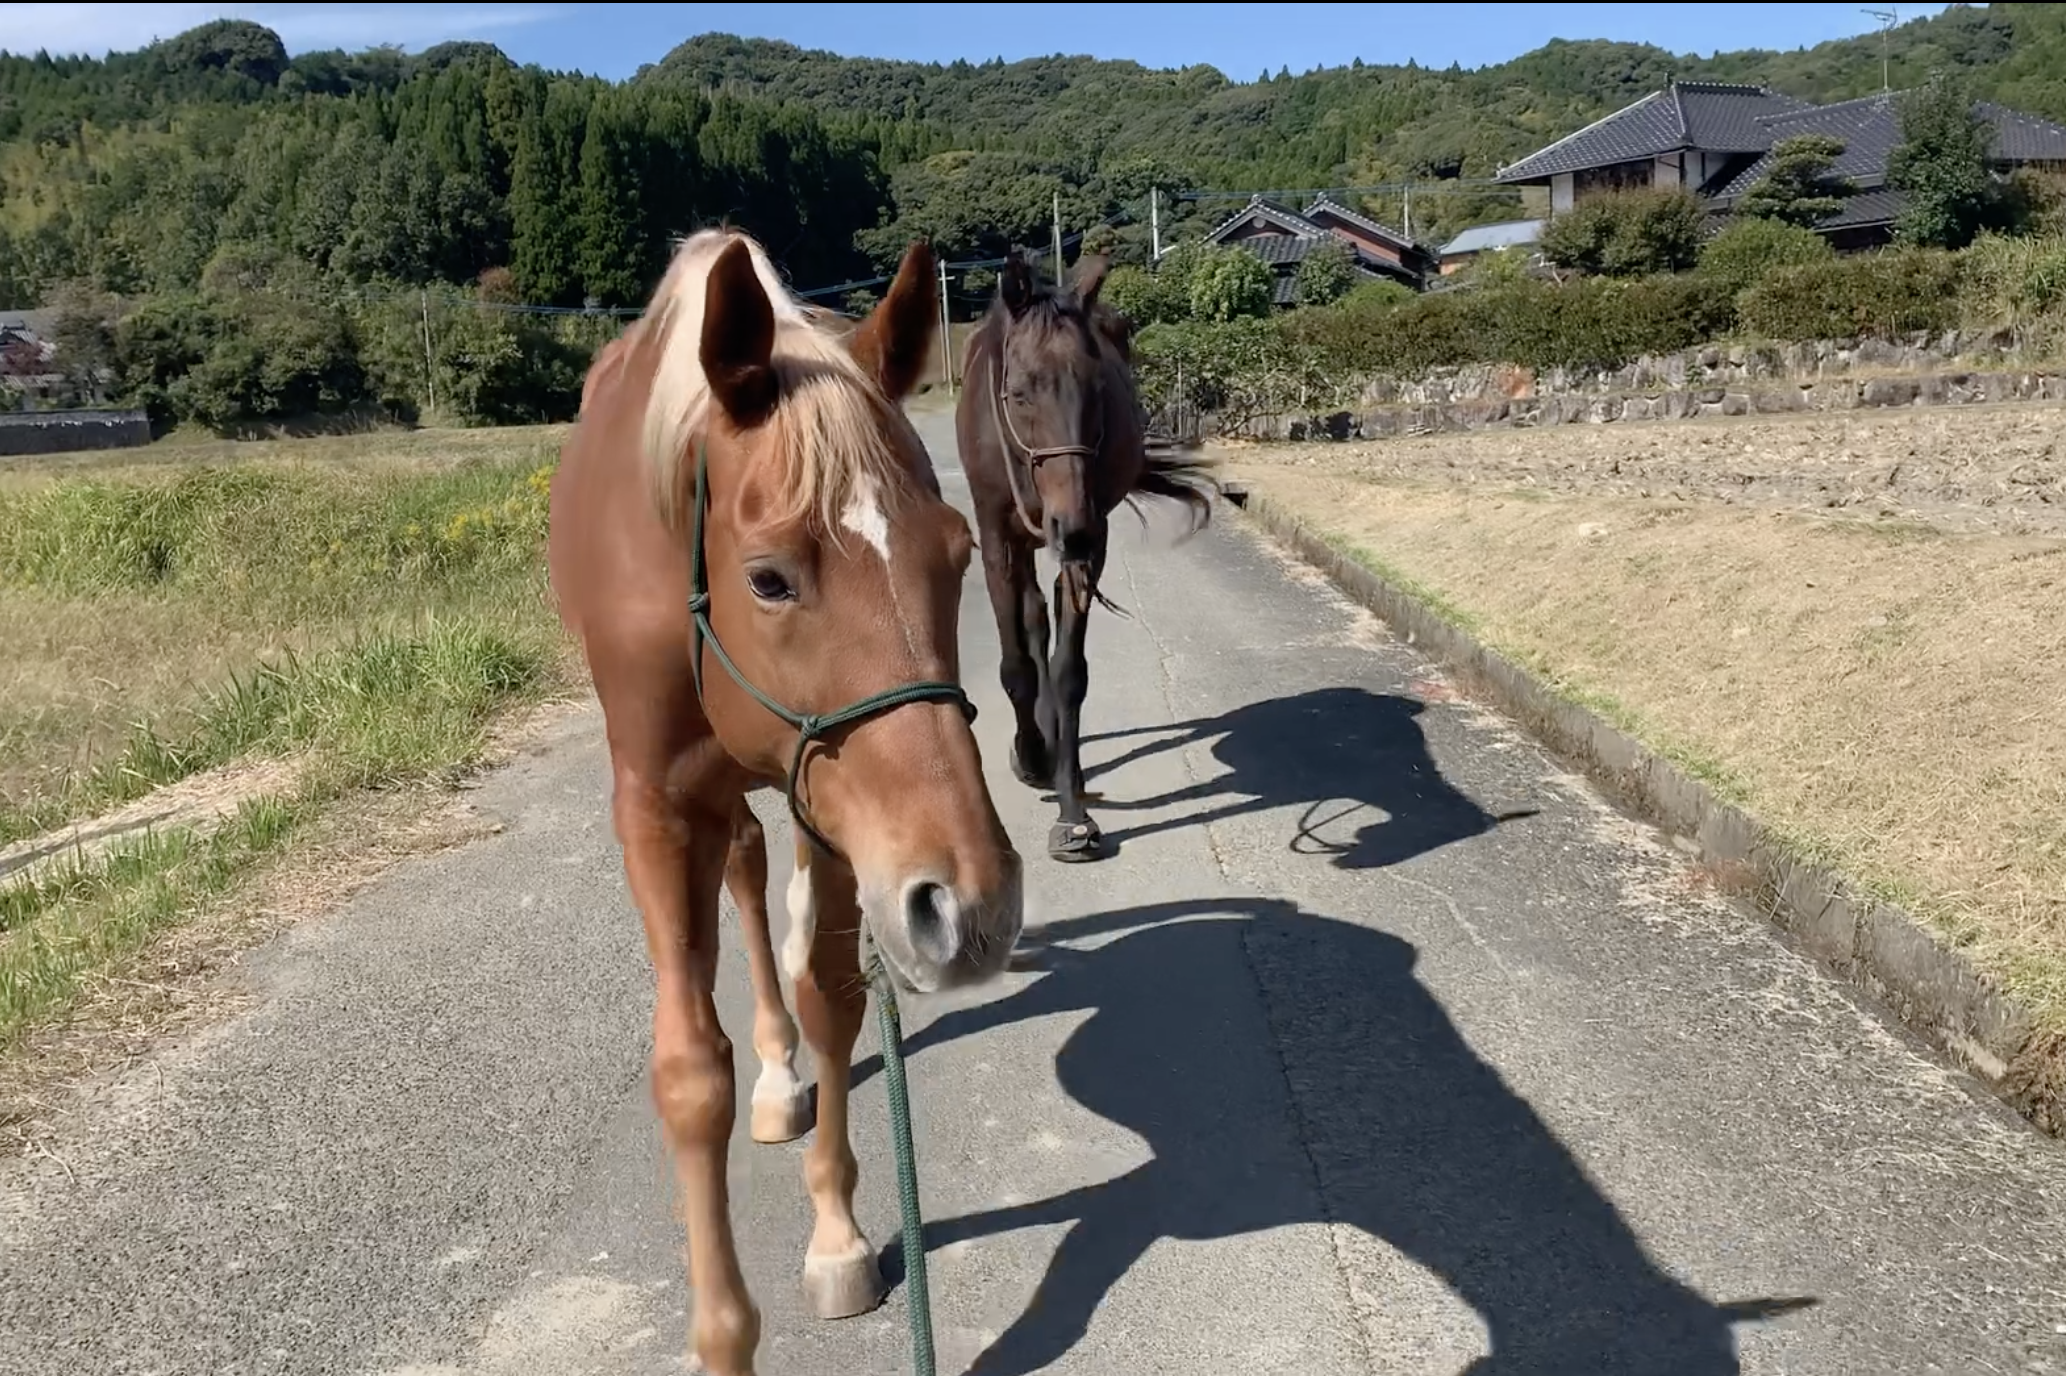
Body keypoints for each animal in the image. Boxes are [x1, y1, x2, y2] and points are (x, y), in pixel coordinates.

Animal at [548, 227, 1025, 1376]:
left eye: (955, 552)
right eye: (768, 577)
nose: (976, 906)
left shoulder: (846, 812)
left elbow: (831, 997)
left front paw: (839, 1235)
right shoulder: (655, 805)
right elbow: (689, 1071)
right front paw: (723, 1336)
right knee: (742, 878)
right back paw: (771, 1079)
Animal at [956, 249, 1218, 862]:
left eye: (1097, 388)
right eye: (1019, 391)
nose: (1068, 526)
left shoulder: (1090, 537)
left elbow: (1068, 671)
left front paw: (1073, 811)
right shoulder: (998, 538)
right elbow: (1015, 666)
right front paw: (1031, 755)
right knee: (1030, 624)